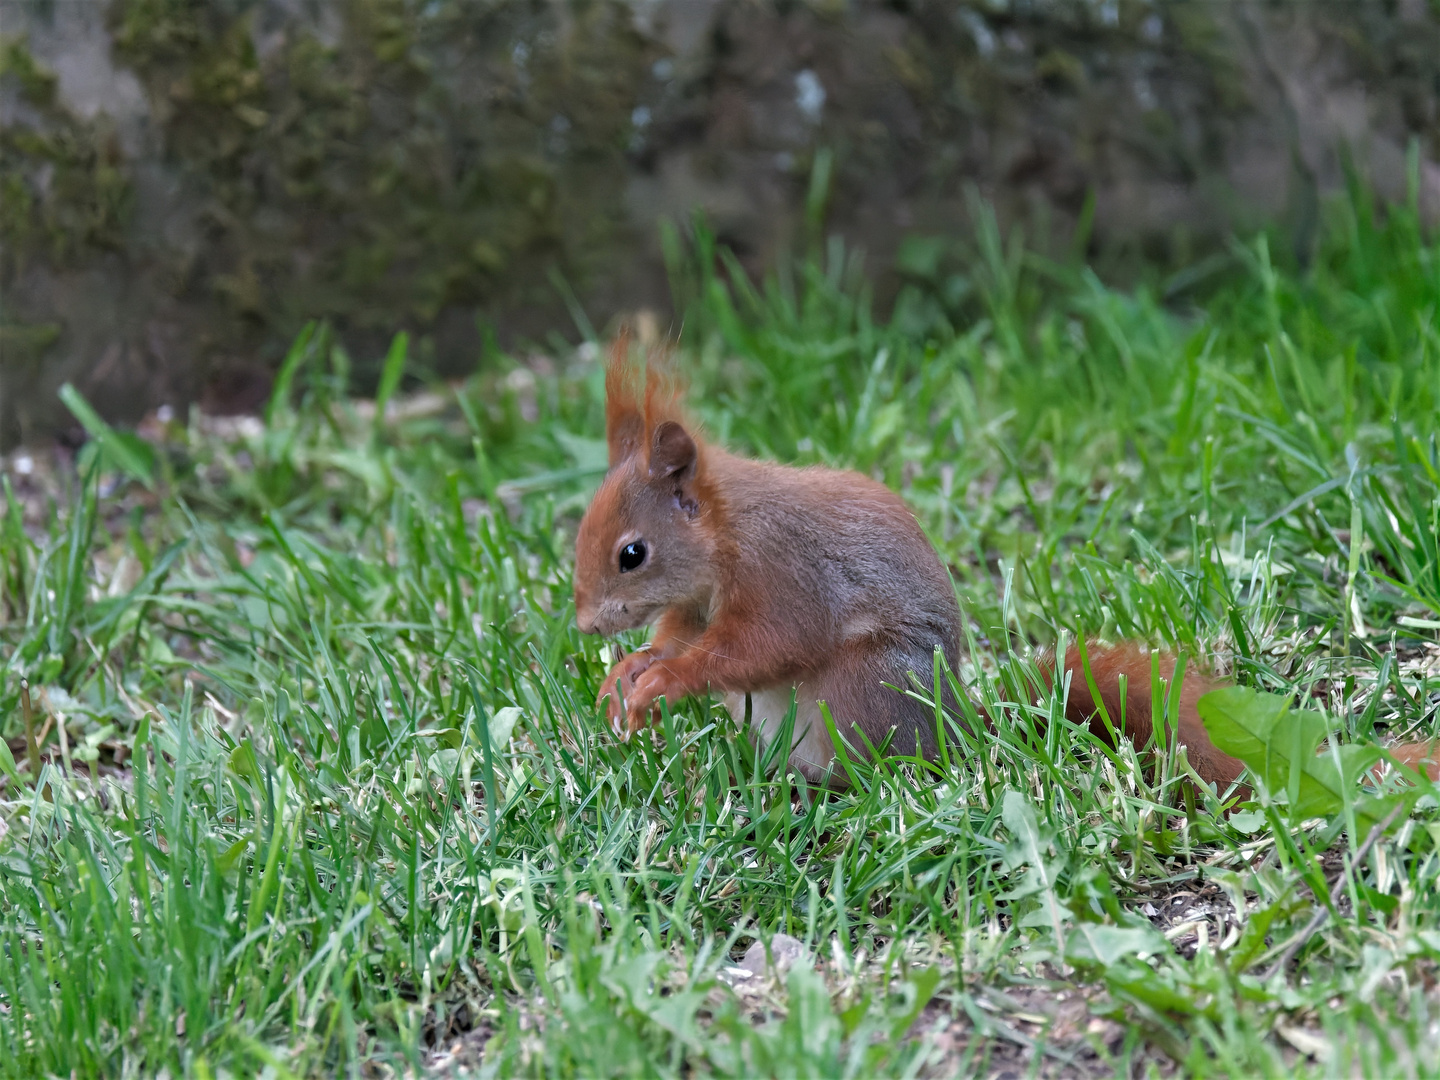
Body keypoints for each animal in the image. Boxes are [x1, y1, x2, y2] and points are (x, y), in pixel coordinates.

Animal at [573, 342, 1440, 789]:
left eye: (632, 553)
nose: (583, 625)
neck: (722, 540)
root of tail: (962, 728)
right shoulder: (698, 600)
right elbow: (683, 633)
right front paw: (629, 674)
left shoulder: (785, 574)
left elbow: (760, 646)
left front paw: (662, 680)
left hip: (864, 688)